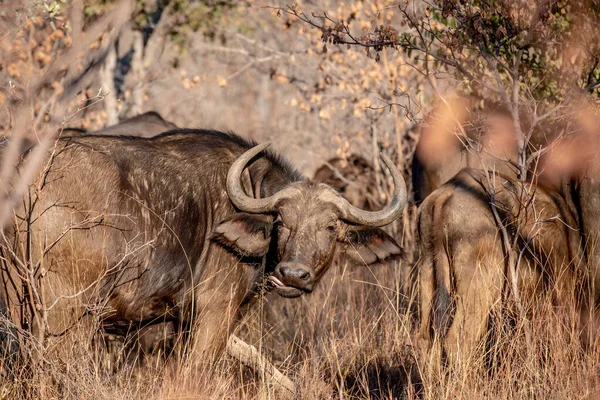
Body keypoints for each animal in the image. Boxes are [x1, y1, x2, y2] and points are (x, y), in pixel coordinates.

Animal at [1, 130, 408, 364]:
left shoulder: (180, 325)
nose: (294, 275)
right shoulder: (215, 314)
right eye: (281, 222)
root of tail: (24, 178)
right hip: (65, 311)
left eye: (330, 227)